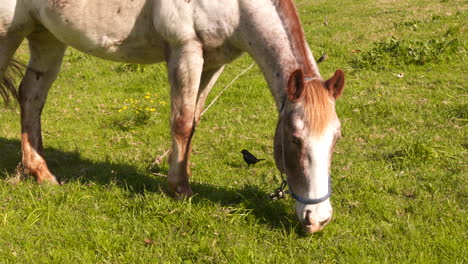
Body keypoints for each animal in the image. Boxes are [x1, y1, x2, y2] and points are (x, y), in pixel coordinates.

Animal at [0, 0, 344, 233]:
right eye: (295, 138)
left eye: (336, 138)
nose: (318, 219)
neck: (238, 8)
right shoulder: (186, 50)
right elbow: (181, 122)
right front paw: (180, 189)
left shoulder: (214, 62)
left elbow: (195, 119)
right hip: (8, 34)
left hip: (46, 36)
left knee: (31, 96)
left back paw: (40, 172)